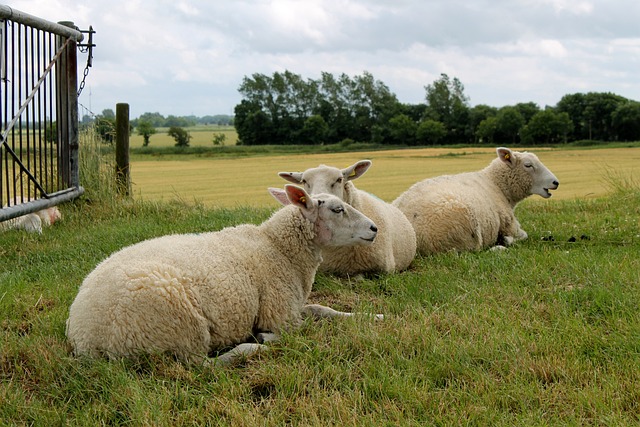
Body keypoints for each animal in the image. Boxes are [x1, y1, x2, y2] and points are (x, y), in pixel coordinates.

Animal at [67, 186, 382, 366]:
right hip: (179, 325)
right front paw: (265, 337)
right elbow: (302, 329)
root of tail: (85, 338)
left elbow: (322, 309)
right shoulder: (279, 312)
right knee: (200, 366)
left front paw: (372, 316)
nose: (374, 229)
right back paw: (249, 349)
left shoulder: (291, 304)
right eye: (337, 209)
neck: (279, 248)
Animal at [392, 147, 556, 254]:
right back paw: (500, 246)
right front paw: (506, 240)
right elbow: (524, 235)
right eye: (528, 165)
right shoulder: (509, 224)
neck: (497, 185)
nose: (556, 182)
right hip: (460, 234)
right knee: (473, 250)